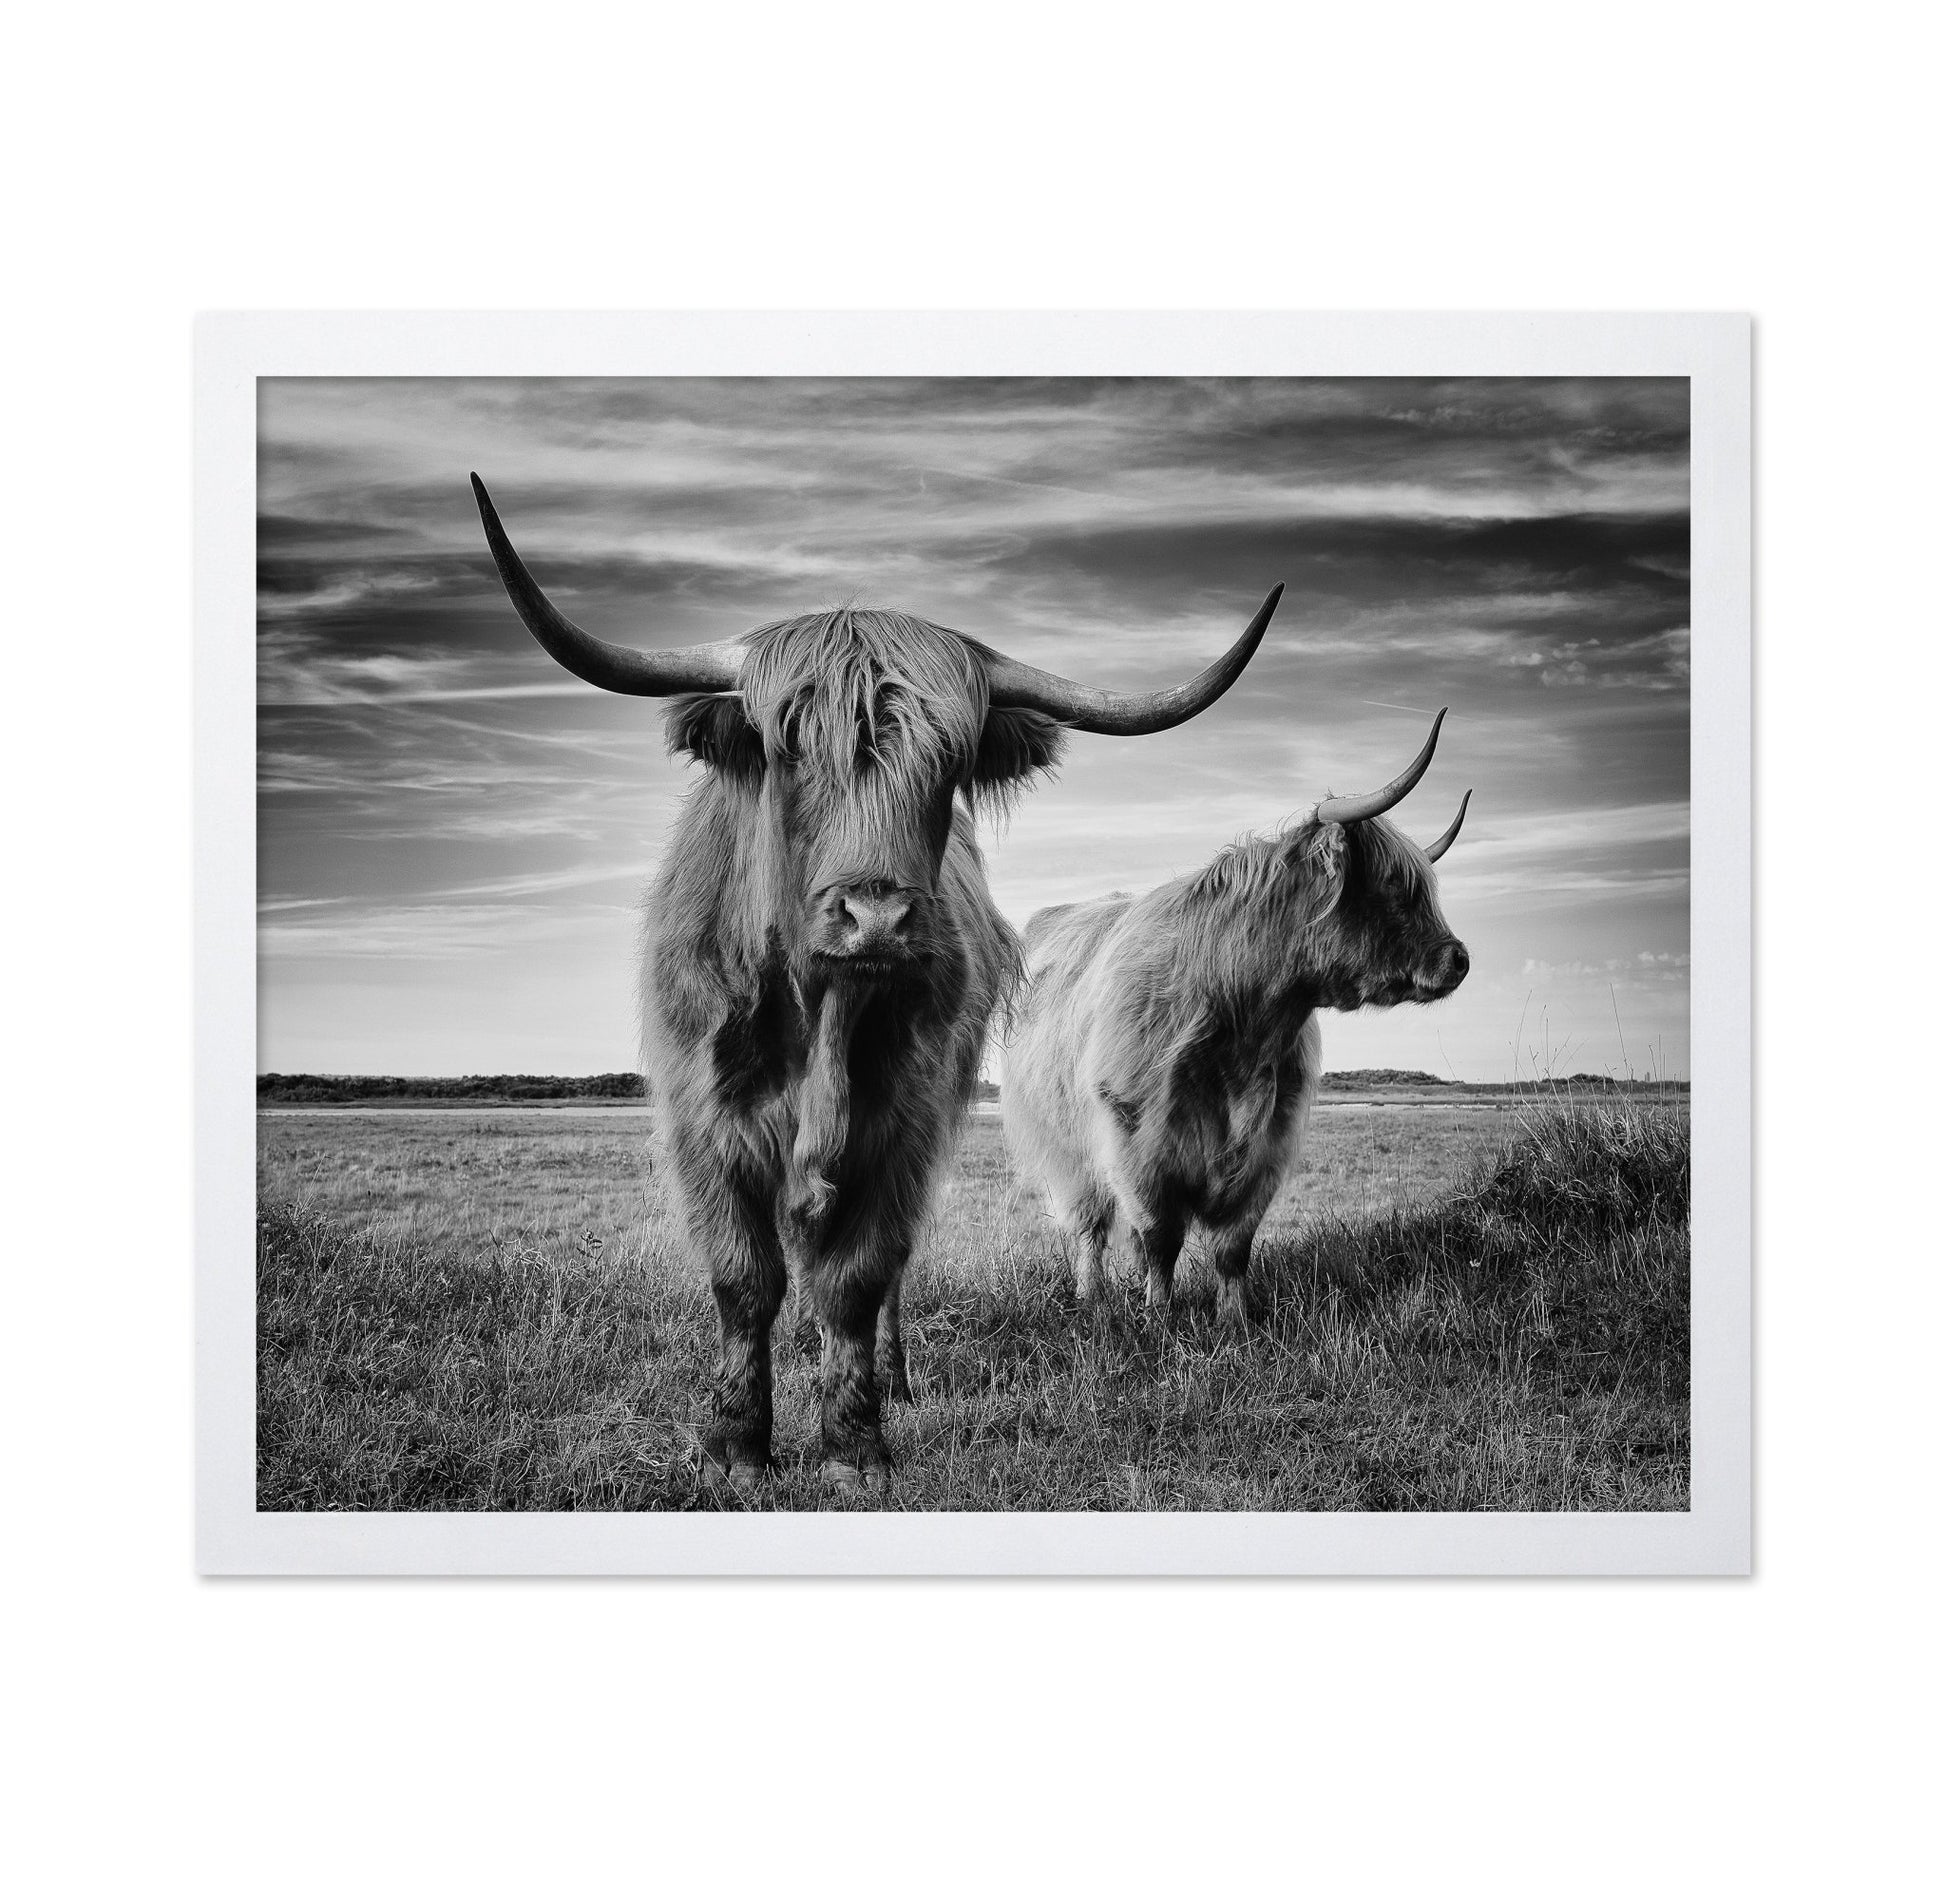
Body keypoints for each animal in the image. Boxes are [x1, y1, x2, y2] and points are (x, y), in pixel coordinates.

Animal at [470, 475, 1282, 1491]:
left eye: (950, 760)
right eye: (789, 747)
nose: (878, 917)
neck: (819, 1014)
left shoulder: (903, 1121)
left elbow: (856, 1276)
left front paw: (853, 1444)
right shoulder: (704, 1119)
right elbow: (744, 1277)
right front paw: (735, 1445)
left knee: (882, 1273)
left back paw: (888, 1379)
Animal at [1002, 711, 1471, 1332]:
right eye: (1394, 885)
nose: (1459, 959)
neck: (1246, 1025)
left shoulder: (1269, 1143)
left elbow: (1232, 1246)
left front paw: (1235, 1321)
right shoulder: (1138, 1142)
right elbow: (1159, 1238)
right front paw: (1159, 1320)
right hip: (1065, 1149)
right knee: (1090, 1227)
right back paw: (1091, 1296)